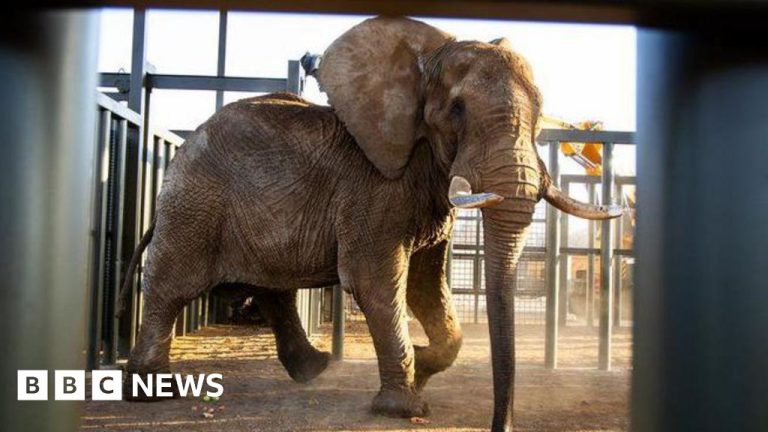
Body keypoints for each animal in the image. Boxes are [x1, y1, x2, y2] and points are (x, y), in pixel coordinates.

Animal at [117, 16, 621, 431]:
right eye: (457, 110)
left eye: (540, 111)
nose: (502, 426)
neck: (425, 60)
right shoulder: (375, 186)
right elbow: (375, 282)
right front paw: (405, 406)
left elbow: (425, 283)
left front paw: (423, 365)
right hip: (195, 204)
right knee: (171, 288)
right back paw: (150, 390)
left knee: (272, 288)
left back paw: (314, 368)